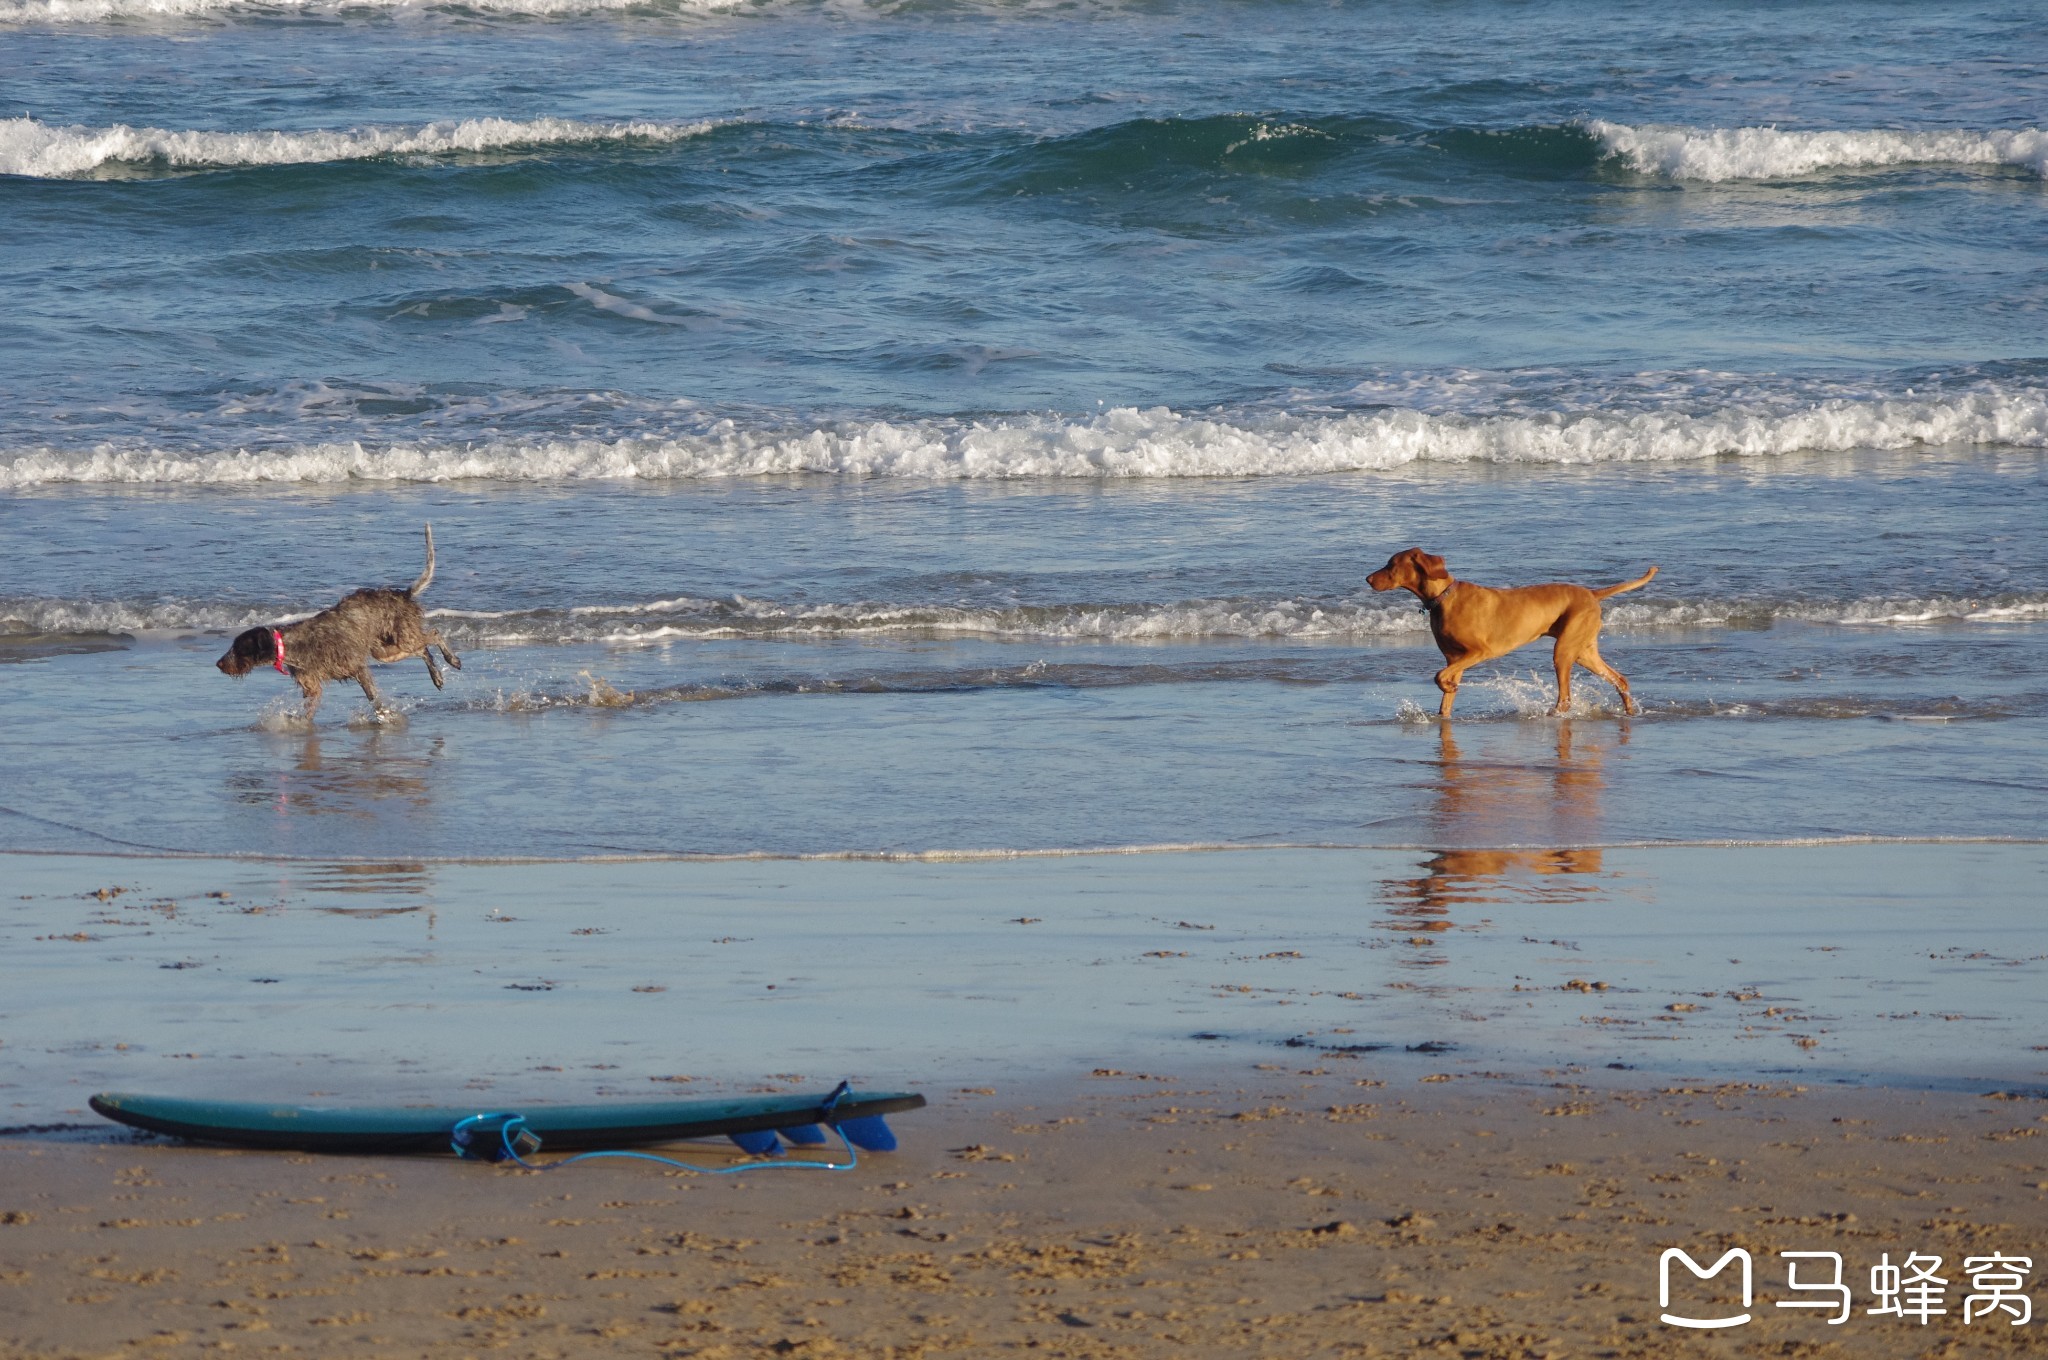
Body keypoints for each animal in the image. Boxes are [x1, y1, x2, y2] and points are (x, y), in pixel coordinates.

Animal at [214, 522, 458, 720]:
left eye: (238, 648)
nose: (218, 664)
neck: (288, 644)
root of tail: (403, 594)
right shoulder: (312, 688)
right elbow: (308, 711)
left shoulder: (358, 669)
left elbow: (373, 697)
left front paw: (383, 715)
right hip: (386, 650)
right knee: (423, 650)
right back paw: (437, 676)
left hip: (402, 639)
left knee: (434, 634)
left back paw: (452, 659)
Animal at [1368, 548, 1654, 716]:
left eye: (1391, 564)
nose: (1368, 579)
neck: (1443, 597)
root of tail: (1592, 593)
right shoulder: (1454, 660)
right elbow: (1445, 695)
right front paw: (1447, 699)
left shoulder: (1479, 651)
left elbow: (1439, 675)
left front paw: (1447, 686)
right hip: (1583, 652)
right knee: (1620, 679)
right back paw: (1629, 710)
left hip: (1563, 651)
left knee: (1566, 697)